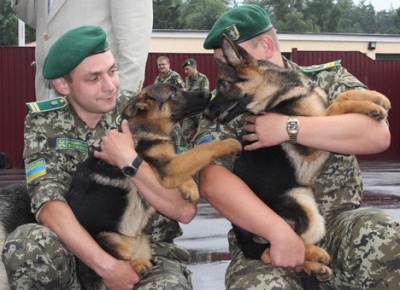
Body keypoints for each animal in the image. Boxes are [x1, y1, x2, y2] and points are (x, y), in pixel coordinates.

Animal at [0, 82, 241, 288]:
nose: (208, 94)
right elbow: (204, 149)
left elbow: (190, 158)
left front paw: (189, 187)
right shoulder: (169, 167)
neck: (144, 126)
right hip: (108, 241)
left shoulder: (170, 165)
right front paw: (231, 143)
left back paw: (142, 266)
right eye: (174, 93)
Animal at [203, 35, 390, 282]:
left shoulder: (319, 112)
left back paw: (316, 267)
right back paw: (315, 256)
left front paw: (376, 98)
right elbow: (337, 106)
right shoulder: (310, 138)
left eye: (224, 84)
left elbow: (340, 96)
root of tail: (240, 231)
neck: (283, 92)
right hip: (305, 209)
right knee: (277, 249)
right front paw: (370, 105)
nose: (206, 113)